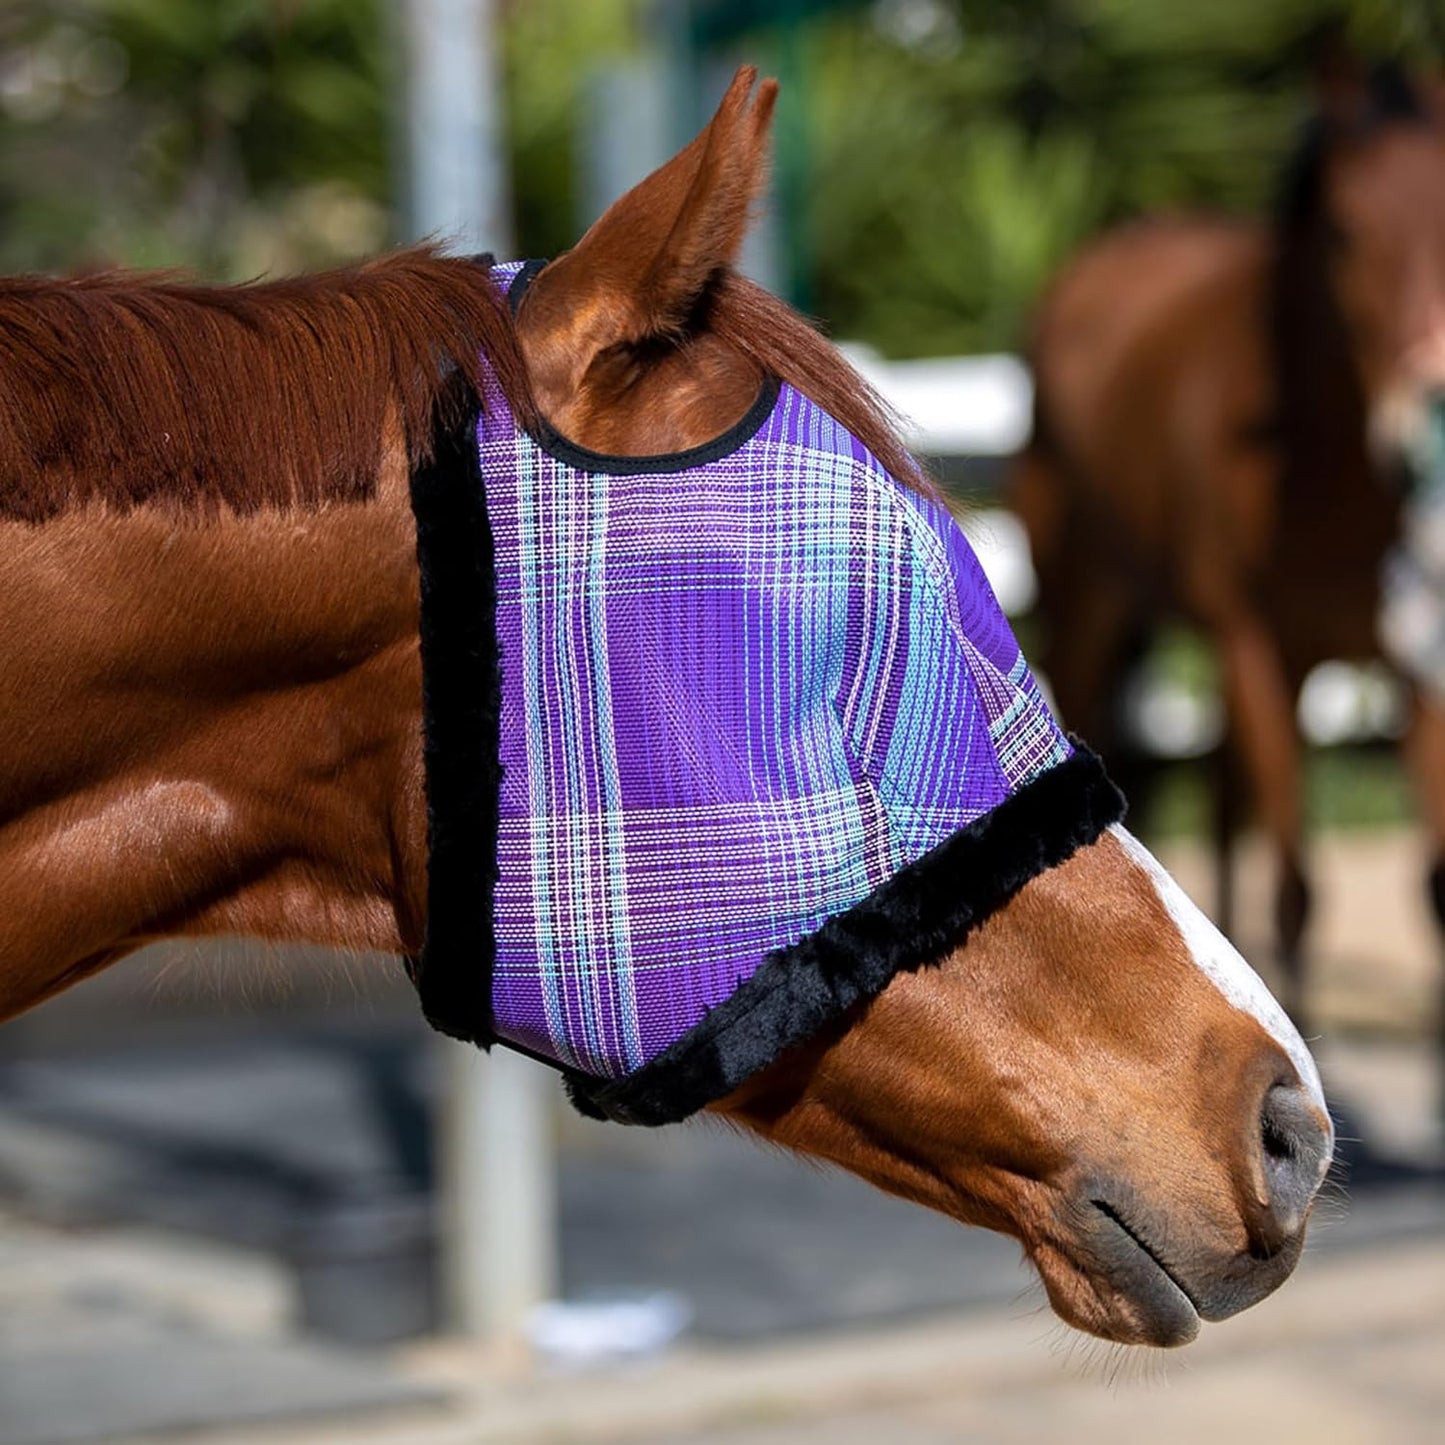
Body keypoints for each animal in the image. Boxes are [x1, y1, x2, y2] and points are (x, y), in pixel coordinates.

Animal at [1011, 58, 1445, 1036]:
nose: (1424, 423)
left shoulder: (1416, 666)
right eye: (1344, 233)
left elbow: (1433, 884)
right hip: (1091, 611)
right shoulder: (1258, 649)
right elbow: (1297, 891)